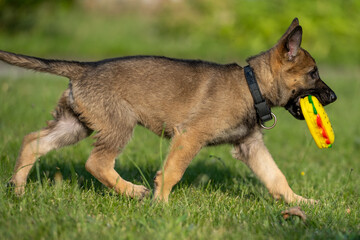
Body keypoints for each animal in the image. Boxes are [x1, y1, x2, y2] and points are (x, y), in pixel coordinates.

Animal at [1, 17, 336, 203]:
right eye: (313, 74)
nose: (332, 97)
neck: (251, 85)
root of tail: (84, 69)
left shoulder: (250, 146)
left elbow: (276, 177)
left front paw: (300, 201)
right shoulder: (190, 137)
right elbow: (173, 171)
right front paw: (161, 205)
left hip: (76, 124)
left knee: (33, 142)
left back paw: (18, 189)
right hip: (119, 125)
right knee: (96, 163)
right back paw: (133, 191)